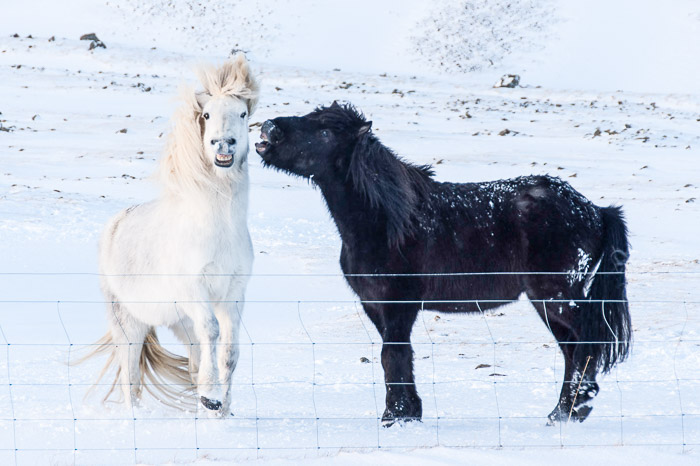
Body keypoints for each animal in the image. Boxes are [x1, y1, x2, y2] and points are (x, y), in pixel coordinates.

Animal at [83, 54, 259, 416]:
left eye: (243, 114)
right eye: (207, 115)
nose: (223, 145)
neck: (219, 229)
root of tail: (114, 226)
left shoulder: (234, 294)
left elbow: (229, 352)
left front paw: (222, 408)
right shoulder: (195, 291)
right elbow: (213, 331)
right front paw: (212, 396)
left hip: (181, 322)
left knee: (190, 361)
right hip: (129, 324)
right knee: (131, 378)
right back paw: (134, 418)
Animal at [255, 102, 631, 426]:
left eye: (324, 132)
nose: (269, 128)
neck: (387, 222)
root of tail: (596, 211)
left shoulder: (399, 304)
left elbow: (392, 356)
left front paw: (396, 417)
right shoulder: (374, 305)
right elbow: (399, 356)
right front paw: (408, 413)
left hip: (556, 297)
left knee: (587, 342)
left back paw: (576, 408)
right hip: (548, 303)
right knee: (572, 349)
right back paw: (561, 413)